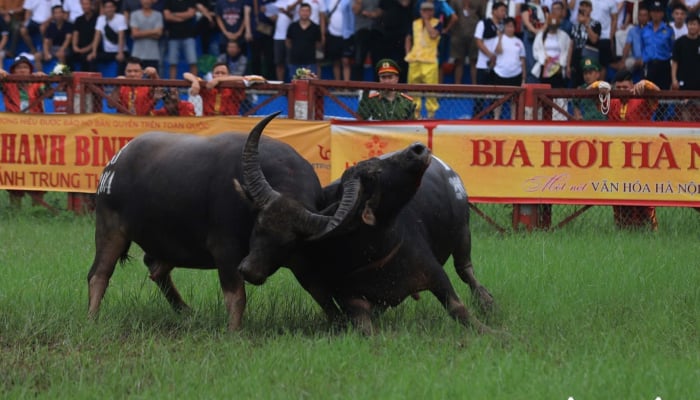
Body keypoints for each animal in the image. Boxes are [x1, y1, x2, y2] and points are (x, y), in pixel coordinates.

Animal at [86, 111, 356, 330]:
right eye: (258, 225)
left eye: (289, 241)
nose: (250, 271)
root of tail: (116, 161)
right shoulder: (225, 251)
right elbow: (236, 295)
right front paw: (233, 331)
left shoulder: (300, 258)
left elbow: (320, 292)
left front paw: (341, 324)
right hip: (109, 229)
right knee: (99, 274)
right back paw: (93, 318)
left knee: (155, 268)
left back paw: (186, 311)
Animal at [238, 122, 494, 334]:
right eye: (373, 173)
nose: (418, 148)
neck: (374, 246)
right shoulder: (350, 297)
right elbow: (364, 327)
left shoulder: (434, 273)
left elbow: (459, 309)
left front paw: (495, 333)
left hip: (463, 233)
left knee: (465, 269)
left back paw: (487, 302)